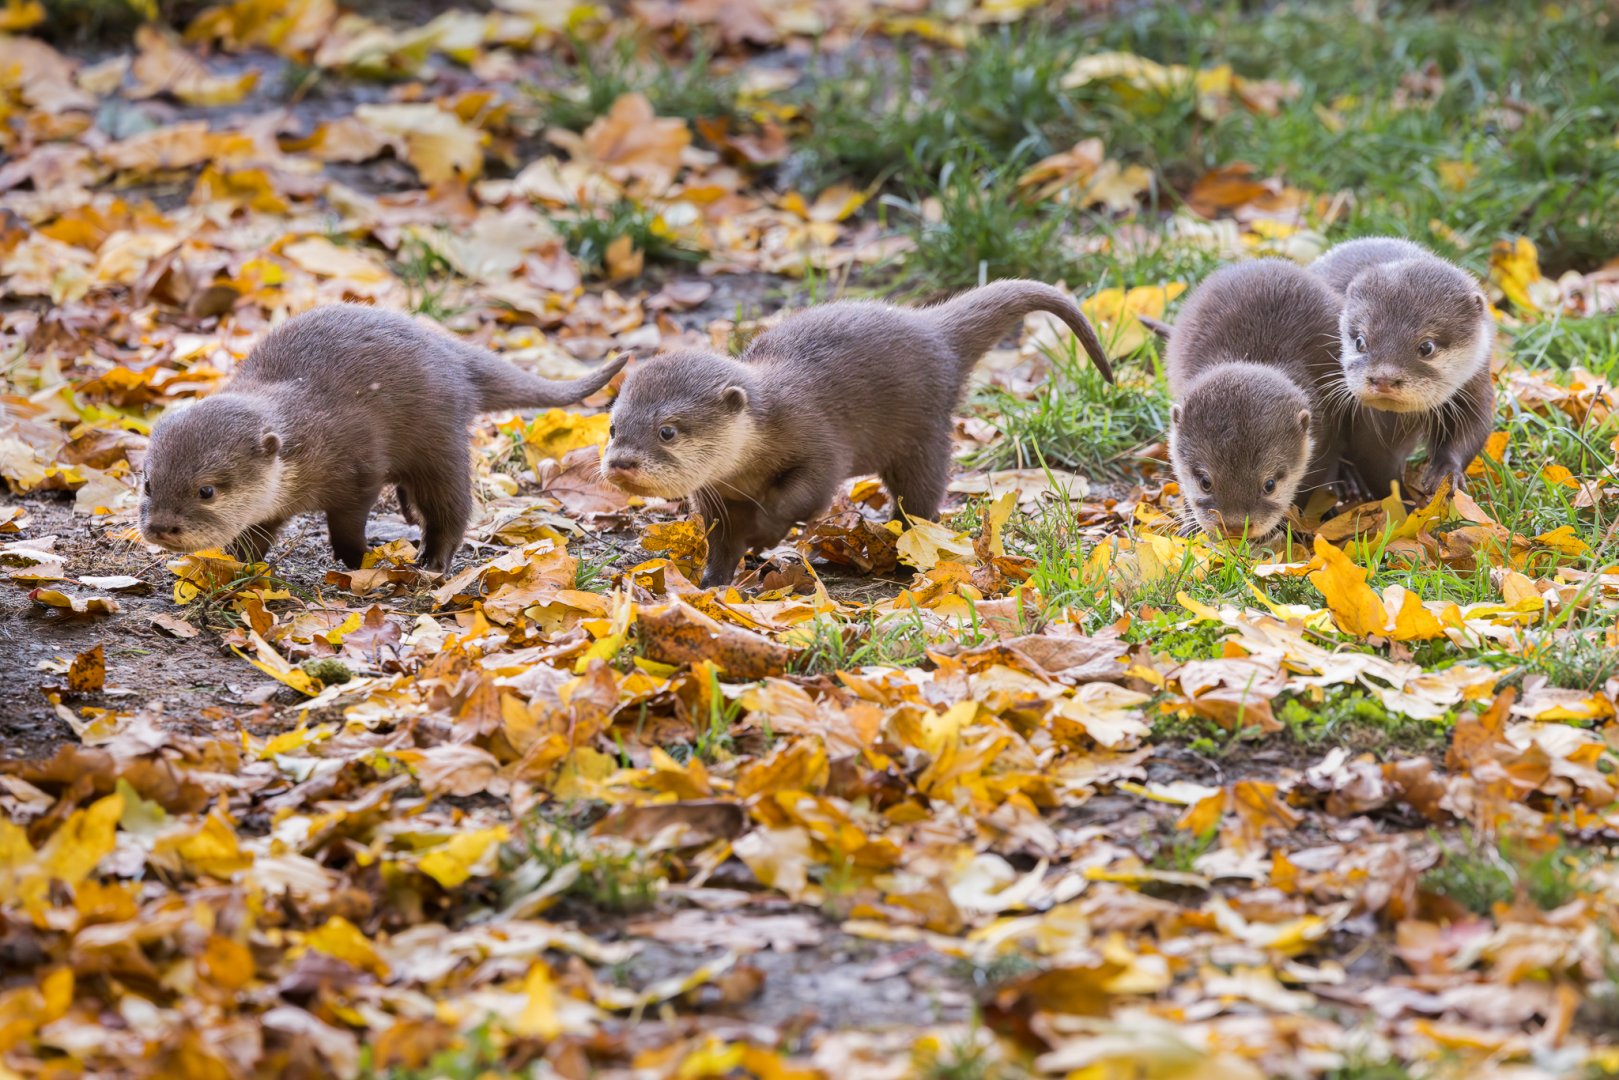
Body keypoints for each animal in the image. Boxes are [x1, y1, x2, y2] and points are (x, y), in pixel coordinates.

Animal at [139, 305, 626, 573]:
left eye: (206, 490)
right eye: (148, 482)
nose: (160, 526)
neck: (307, 439)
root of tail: (451, 352)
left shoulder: (357, 469)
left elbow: (348, 522)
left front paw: (357, 560)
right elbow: (256, 531)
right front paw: (238, 562)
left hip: (439, 439)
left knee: (452, 506)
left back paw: (432, 562)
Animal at [599, 280, 1115, 588]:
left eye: (667, 430)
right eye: (613, 426)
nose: (620, 461)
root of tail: (934, 329)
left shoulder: (818, 442)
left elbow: (804, 496)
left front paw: (765, 536)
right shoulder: (717, 494)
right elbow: (721, 540)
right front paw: (712, 582)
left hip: (924, 431)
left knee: (923, 495)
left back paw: (908, 552)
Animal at [1309, 237, 1496, 499]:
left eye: (1426, 346)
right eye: (1360, 341)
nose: (1383, 379)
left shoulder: (1474, 385)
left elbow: (1473, 428)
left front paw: (1445, 471)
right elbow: (1377, 466)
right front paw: (1405, 505)